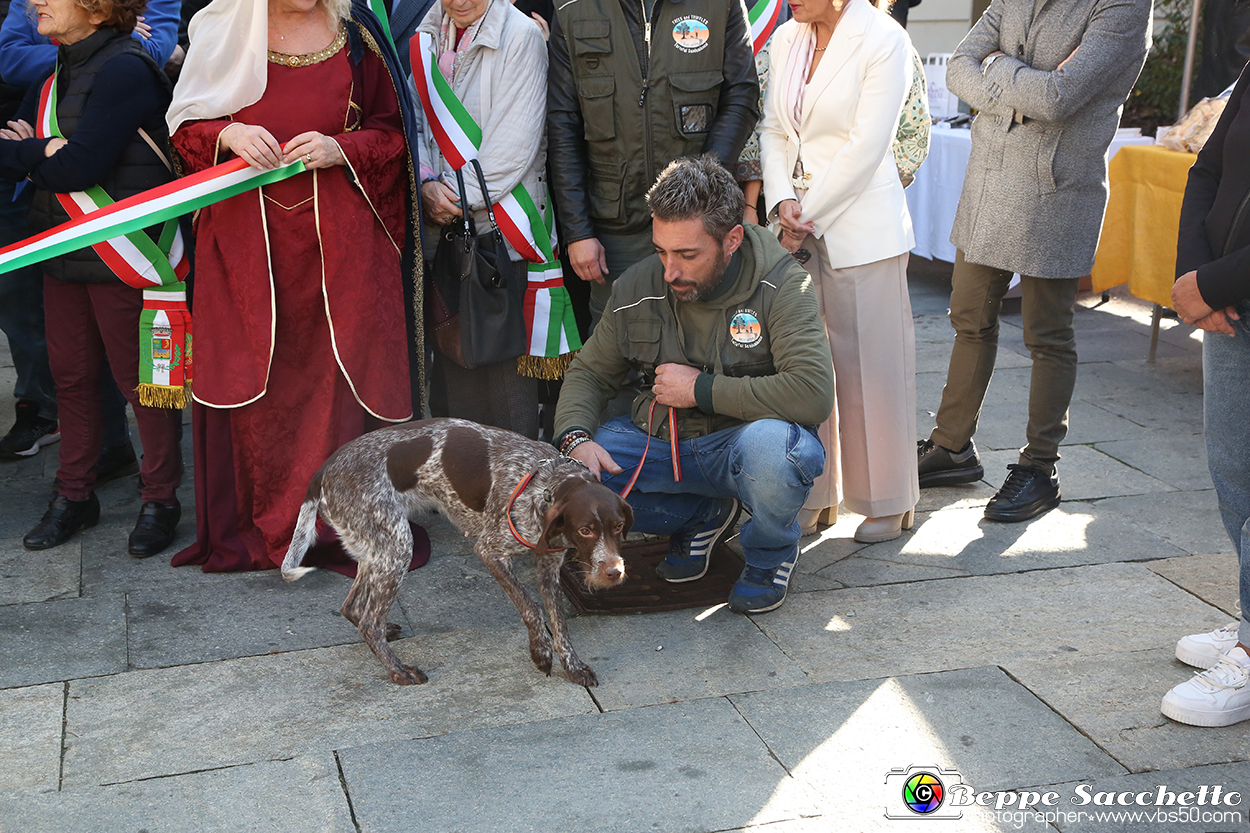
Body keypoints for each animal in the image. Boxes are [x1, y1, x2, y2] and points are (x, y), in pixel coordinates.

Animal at [285, 417, 635, 685]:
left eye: (619, 527)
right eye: (586, 530)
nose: (614, 573)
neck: (548, 486)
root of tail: (322, 471)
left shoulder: (549, 569)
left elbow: (559, 623)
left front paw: (572, 665)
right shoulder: (490, 552)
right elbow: (532, 608)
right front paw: (541, 651)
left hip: (376, 549)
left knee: (353, 608)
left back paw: (385, 634)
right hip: (397, 547)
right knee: (368, 621)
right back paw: (398, 671)